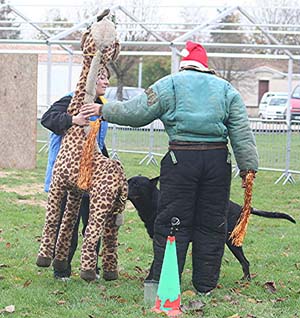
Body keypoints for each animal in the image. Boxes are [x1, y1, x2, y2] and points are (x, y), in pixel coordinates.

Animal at [127, 174, 296, 280]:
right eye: (128, 181)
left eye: (135, 184)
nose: (122, 187)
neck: (153, 204)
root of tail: (241, 208)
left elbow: (156, 262)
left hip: (232, 241)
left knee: (245, 262)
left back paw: (246, 281)